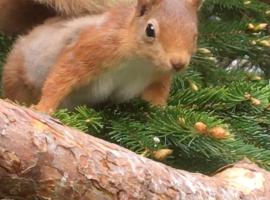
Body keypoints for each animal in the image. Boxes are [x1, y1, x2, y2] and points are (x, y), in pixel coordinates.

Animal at [1, 0, 200, 112]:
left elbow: (156, 95)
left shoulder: (158, 76)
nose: (178, 63)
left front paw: (162, 110)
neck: (141, 62)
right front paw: (43, 108)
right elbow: (62, 76)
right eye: (150, 30)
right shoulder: (96, 47)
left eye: (195, 35)